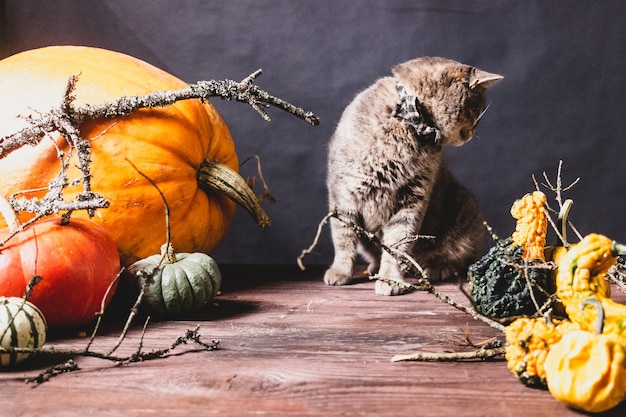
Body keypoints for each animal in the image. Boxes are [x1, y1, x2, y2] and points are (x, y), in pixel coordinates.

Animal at [324, 57, 500, 294]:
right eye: (475, 109)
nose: (472, 133)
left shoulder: (412, 200)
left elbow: (398, 243)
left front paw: (391, 279)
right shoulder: (342, 194)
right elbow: (343, 238)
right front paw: (340, 271)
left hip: (465, 207)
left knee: (460, 260)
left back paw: (434, 268)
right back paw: (375, 267)